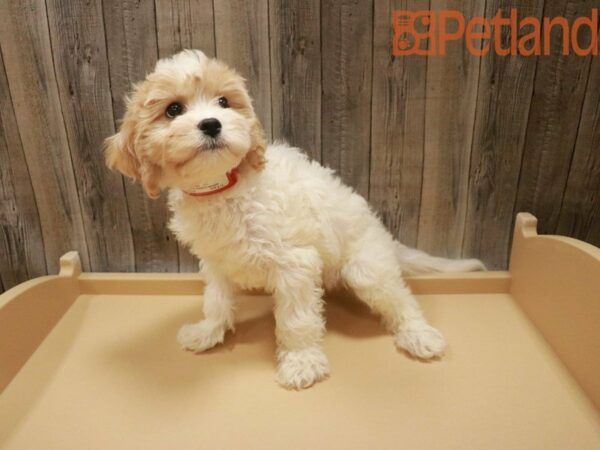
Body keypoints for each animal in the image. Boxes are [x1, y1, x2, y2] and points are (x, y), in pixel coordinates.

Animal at [105, 48, 486, 386]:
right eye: (173, 109)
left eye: (224, 102)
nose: (212, 124)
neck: (224, 187)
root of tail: (383, 235)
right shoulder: (216, 262)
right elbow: (215, 301)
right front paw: (208, 333)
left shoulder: (295, 264)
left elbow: (296, 321)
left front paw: (301, 362)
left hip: (366, 268)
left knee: (400, 298)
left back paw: (419, 334)